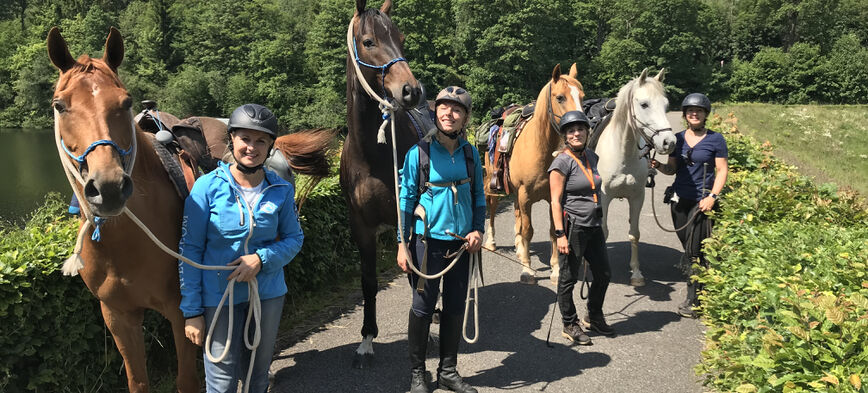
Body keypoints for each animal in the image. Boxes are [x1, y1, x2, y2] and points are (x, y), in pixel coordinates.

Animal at [48, 26, 332, 388]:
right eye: (60, 105)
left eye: (125, 102)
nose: (108, 187)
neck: (127, 243)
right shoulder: (118, 316)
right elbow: (138, 382)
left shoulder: (181, 310)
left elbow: (187, 380)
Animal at [482, 64, 584, 284]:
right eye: (560, 97)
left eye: (582, 96)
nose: (581, 126)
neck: (540, 147)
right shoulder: (525, 195)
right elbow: (528, 230)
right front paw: (527, 270)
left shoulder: (552, 197)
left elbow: (553, 231)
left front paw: (555, 270)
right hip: (494, 184)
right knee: (492, 208)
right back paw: (491, 242)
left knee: (517, 216)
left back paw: (520, 249)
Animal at [596, 68, 680, 284]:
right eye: (644, 104)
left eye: (666, 105)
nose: (669, 142)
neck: (622, 152)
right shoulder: (603, 198)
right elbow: (602, 231)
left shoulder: (637, 197)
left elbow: (634, 233)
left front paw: (636, 273)